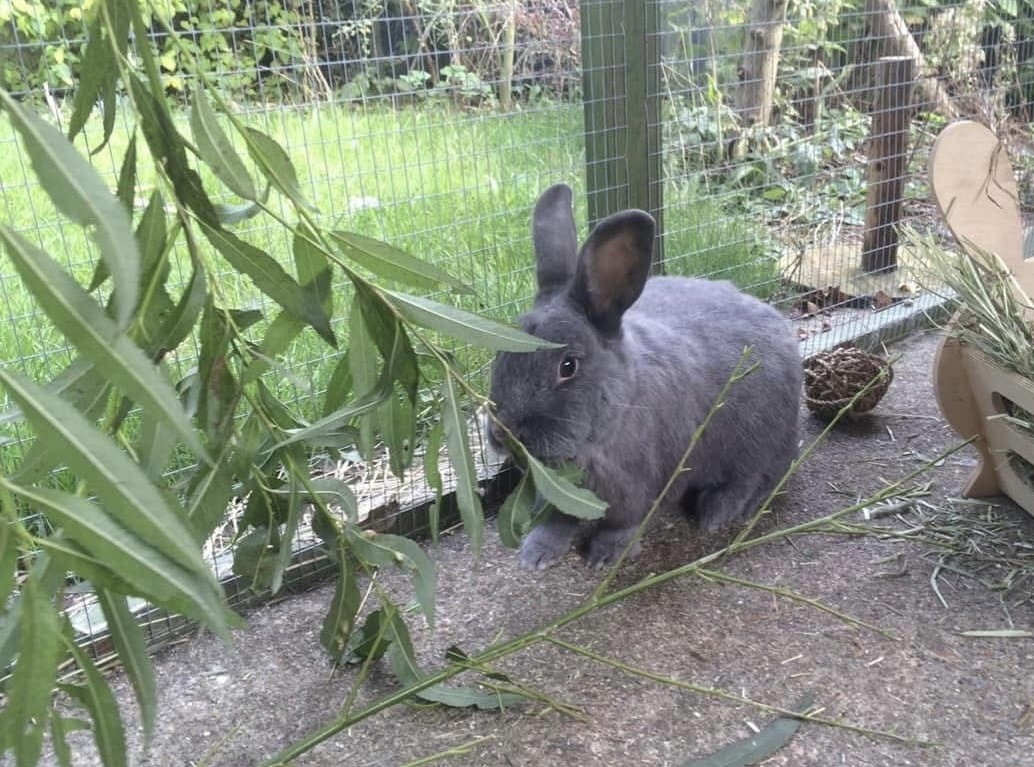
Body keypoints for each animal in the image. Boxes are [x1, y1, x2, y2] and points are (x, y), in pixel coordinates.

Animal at [487, 183, 802, 570]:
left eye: (568, 367)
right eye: (499, 355)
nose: (503, 433)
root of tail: (782, 326)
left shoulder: (640, 487)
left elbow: (624, 524)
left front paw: (605, 557)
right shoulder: (560, 492)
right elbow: (558, 521)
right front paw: (536, 554)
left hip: (758, 439)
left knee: (758, 476)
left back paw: (717, 513)